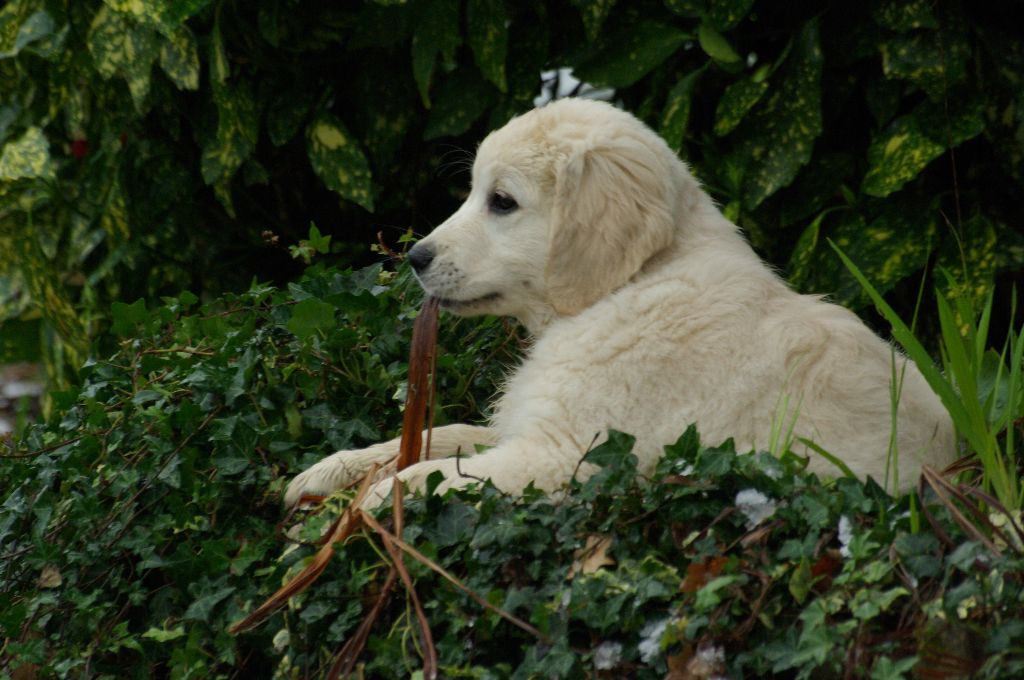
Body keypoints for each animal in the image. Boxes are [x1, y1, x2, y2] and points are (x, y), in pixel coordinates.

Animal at [284, 98, 954, 507]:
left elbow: (436, 473)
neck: (627, 288)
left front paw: (369, 505)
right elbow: (441, 435)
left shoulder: (571, 457)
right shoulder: (531, 428)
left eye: (501, 201)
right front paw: (335, 470)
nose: (415, 258)